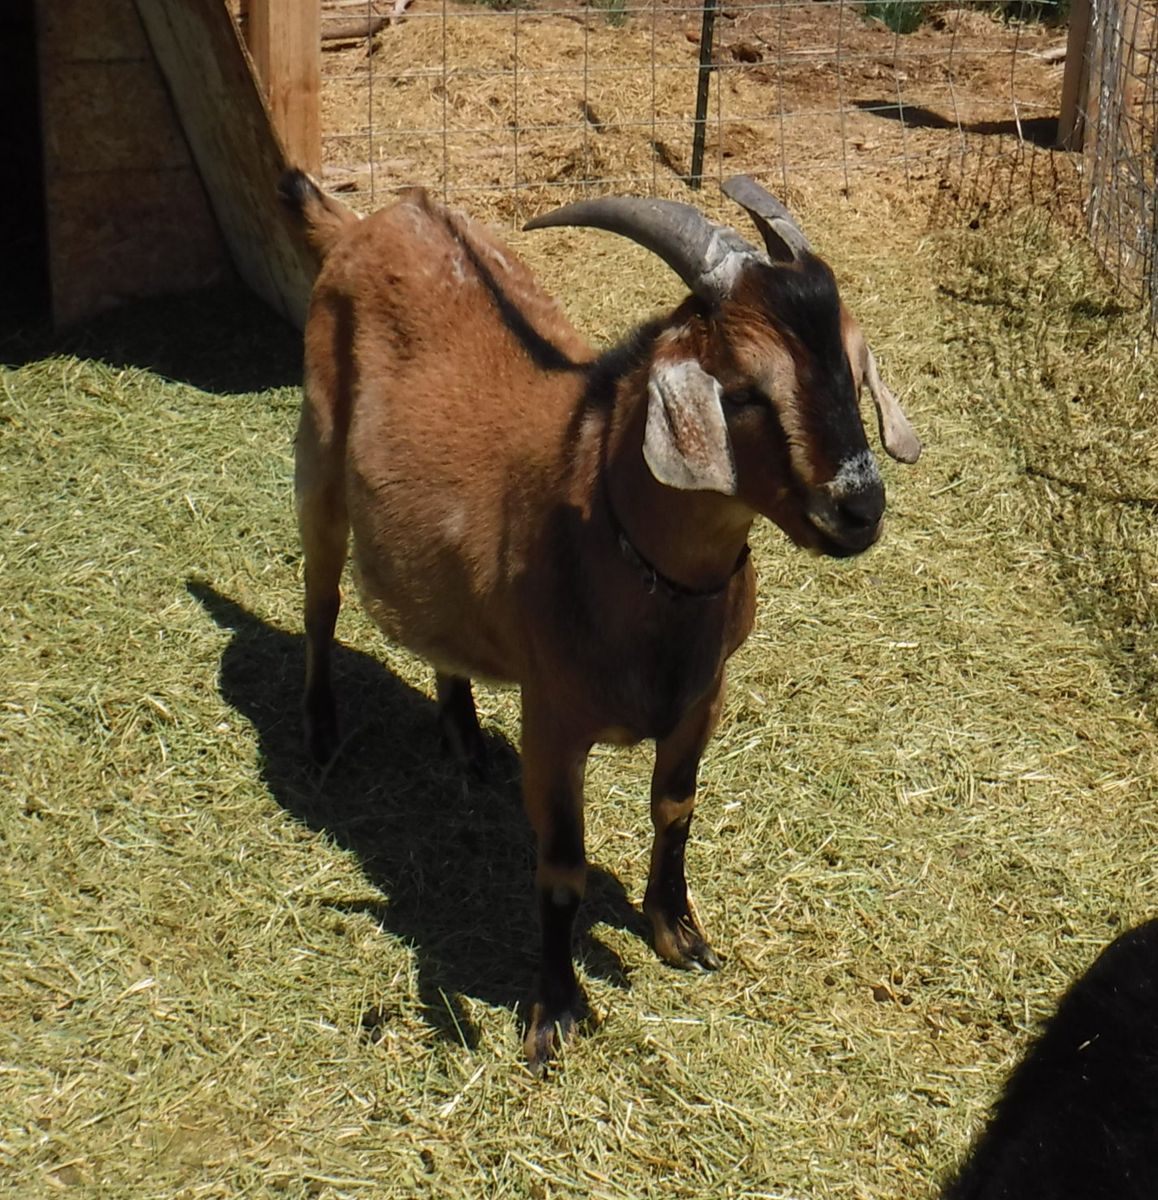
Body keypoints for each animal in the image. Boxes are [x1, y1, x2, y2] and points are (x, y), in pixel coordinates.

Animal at [278, 168, 920, 1069]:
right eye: (743, 392)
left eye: (853, 374)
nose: (859, 508)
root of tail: (367, 219)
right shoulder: (554, 719)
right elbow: (561, 870)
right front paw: (555, 1012)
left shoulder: (703, 699)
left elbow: (675, 810)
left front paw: (680, 933)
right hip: (319, 462)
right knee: (321, 597)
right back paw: (321, 729)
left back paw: (464, 737)